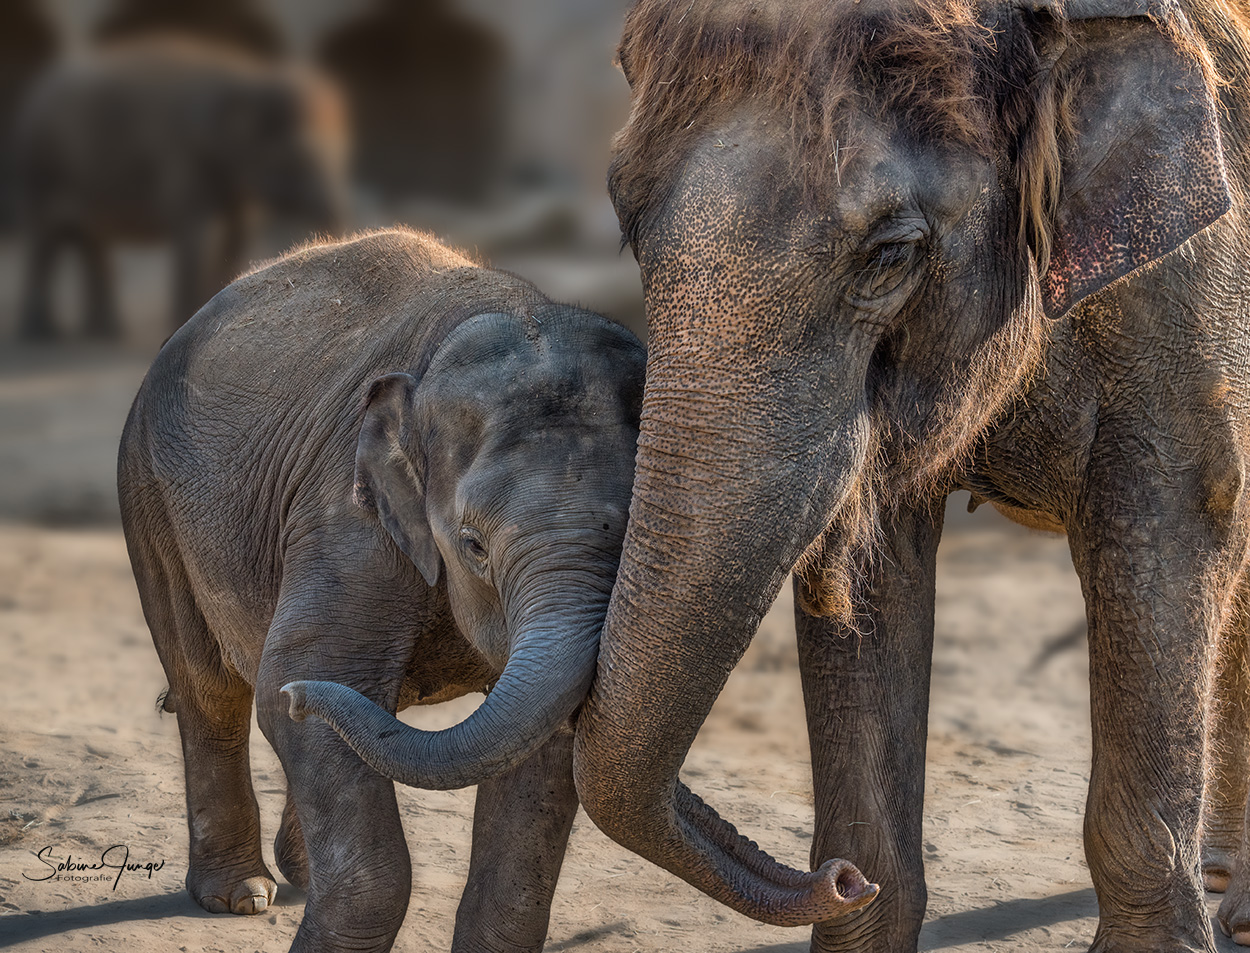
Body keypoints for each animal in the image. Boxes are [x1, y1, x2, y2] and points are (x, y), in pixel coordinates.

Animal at [17, 37, 347, 342]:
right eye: (299, 156)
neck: (248, 77)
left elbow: (239, 232)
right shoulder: (183, 160)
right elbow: (196, 235)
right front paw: (184, 322)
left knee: (89, 238)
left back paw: (103, 332)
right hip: (41, 168)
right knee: (44, 239)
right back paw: (43, 334)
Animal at [119, 225, 645, 950]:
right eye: (473, 545)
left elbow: (543, 745)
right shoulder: (350, 514)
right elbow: (306, 673)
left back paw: (297, 874)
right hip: (149, 490)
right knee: (208, 686)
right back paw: (242, 895)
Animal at [572, 1, 1250, 950]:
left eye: (890, 253)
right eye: (627, 223)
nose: (834, 878)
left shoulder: (1192, 285)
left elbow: (1170, 524)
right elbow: (871, 563)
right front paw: (869, 889)